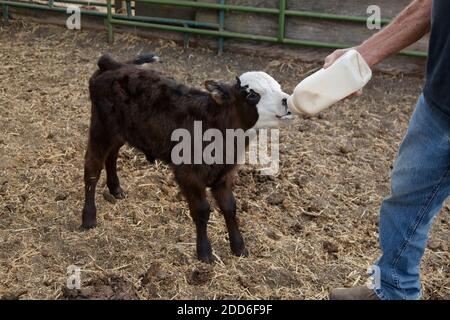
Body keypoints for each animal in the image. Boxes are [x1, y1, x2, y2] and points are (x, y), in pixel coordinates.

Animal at [82, 53, 290, 262]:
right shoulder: (188, 173)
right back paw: (89, 218)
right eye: (253, 95)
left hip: (120, 132)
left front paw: (239, 247)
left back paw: (115, 189)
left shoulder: (223, 174)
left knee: (112, 156)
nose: (287, 101)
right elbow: (202, 210)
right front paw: (205, 252)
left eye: (278, 87)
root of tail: (113, 64)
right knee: (92, 169)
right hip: (101, 129)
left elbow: (230, 207)